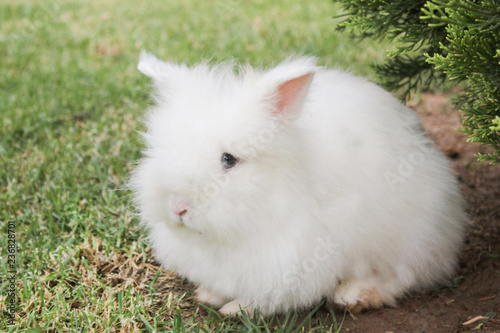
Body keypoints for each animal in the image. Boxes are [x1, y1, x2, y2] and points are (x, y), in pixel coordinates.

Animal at [131, 50, 466, 316]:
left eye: (229, 160)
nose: (178, 208)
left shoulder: (291, 260)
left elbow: (268, 296)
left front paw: (236, 309)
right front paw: (209, 295)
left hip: (405, 236)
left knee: (402, 276)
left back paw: (354, 296)